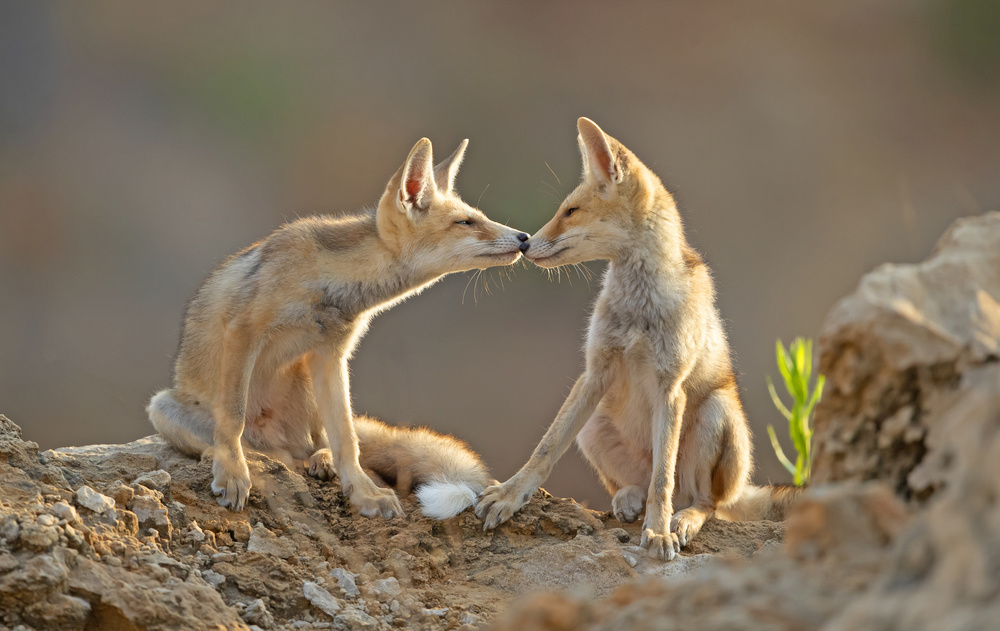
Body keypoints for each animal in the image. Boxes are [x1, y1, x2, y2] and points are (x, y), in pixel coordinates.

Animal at [149, 137, 528, 520]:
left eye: (480, 217)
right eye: (466, 222)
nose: (524, 237)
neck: (327, 284)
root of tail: (275, 441)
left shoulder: (331, 355)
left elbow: (346, 439)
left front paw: (363, 494)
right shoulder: (243, 329)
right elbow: (233, 418)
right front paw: (231, 474)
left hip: (310, 395)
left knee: (316, 445)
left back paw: (320, 459)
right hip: (162, 408)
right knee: (256, 449)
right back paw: (233, 456)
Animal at [478, 119, 804, 564]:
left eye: (571, 212)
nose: (524, 241)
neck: (638, 311)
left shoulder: (670, 387)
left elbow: (662, 480)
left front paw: (659, 532)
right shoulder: (594, 373)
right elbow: (544, 449)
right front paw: (510, 496)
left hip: (716, 414)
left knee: (702, 501)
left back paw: (682, 520)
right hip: (593, 424)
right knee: (629, 485)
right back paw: (628, 500)